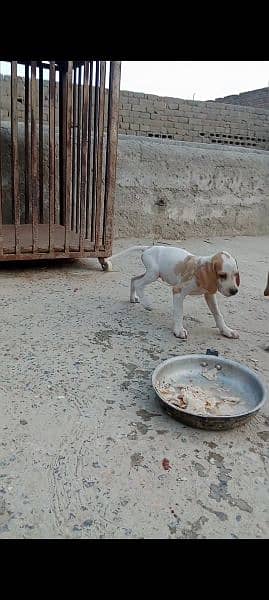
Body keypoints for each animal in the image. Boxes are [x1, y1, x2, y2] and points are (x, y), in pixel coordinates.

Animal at [110, 244, 240, 338]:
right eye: (222, 275)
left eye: (235, 275)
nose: (234, 291)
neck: (200, 269)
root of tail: (149, 248)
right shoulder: (178, 291)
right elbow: (179, 312)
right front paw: (178, 330)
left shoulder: (209, 294)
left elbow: (218, 314)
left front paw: (226, 330)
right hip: (153, 274)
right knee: (138, 284)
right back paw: (147, 304)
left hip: (151, 273)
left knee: (133, 279)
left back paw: (133, 298)